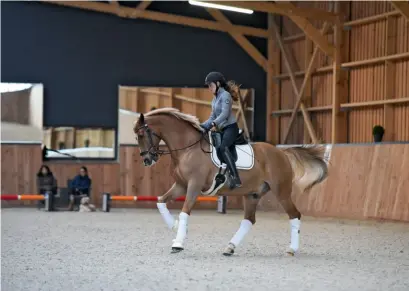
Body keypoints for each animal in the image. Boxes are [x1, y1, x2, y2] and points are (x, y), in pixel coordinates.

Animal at [134, 108, 328, 256]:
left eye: (142, 134)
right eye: (137, 136)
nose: (147, 160)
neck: (188, 149)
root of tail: (281, 152)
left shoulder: (194, 186)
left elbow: (184, 211)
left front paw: (178, 243)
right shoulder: (181, 186)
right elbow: (160, 201)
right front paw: (174, 228)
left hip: (282, 192)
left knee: (295, 215)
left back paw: (292, 249)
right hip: (252, 194)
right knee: (249, 220)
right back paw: (230, 247)